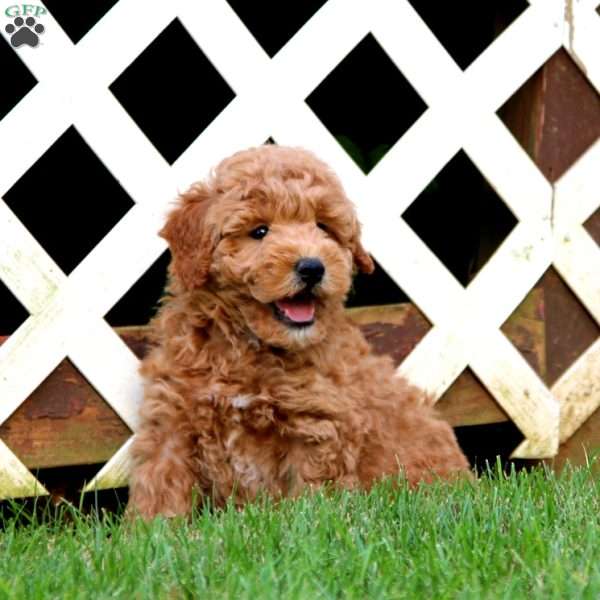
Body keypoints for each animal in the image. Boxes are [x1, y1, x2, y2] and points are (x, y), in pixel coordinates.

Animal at [129, 146, 472, 520]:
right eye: (259, 231)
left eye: (323, 227)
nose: (312, 267)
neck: (248, 350)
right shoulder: (171, 422)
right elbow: (159, 488)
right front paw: (151, 530)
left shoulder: (315, 429)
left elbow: (308, 501)